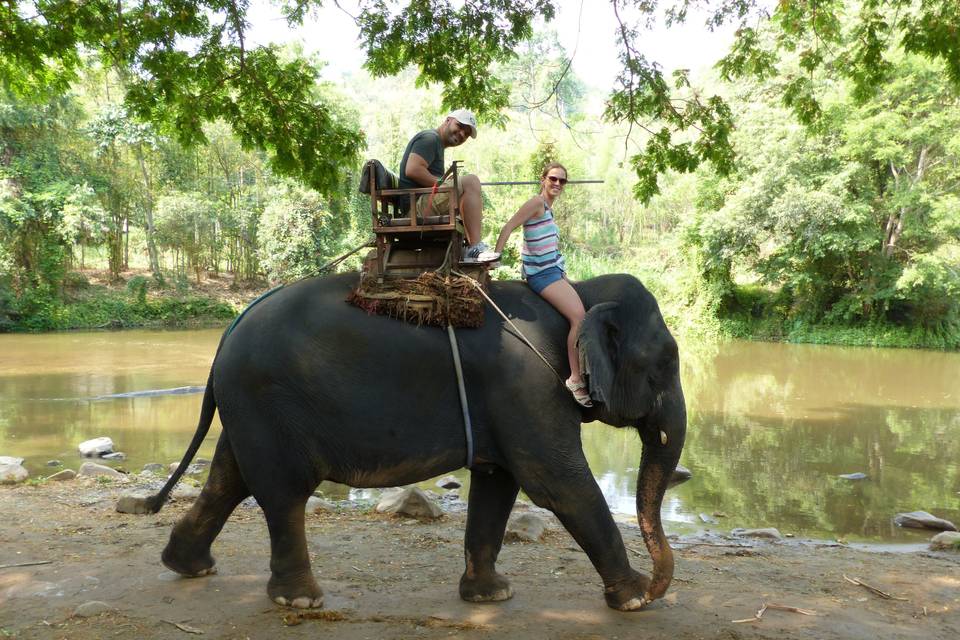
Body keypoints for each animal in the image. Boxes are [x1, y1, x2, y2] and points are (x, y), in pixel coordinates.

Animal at [131, 270, 688, 608]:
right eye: (665, 361)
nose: (662, 585)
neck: (580, 292)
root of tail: (228, 331)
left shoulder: (510, 399)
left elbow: (498, 482)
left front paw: (490, 597)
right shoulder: (527, 381)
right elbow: (557, 482)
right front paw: (636, 599)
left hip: (250, 407)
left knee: (230, 477)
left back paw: (187, 566)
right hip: (267, 400)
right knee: (282, 492)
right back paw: (301, 599)